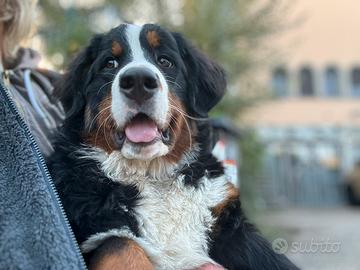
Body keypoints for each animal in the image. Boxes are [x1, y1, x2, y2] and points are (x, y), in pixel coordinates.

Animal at [47, 23, 298, 270]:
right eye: (110, 63)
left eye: (165, 61)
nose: (138, 80)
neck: (152, 175)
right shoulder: (93, 233)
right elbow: (121, 245)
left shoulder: (230, 228)